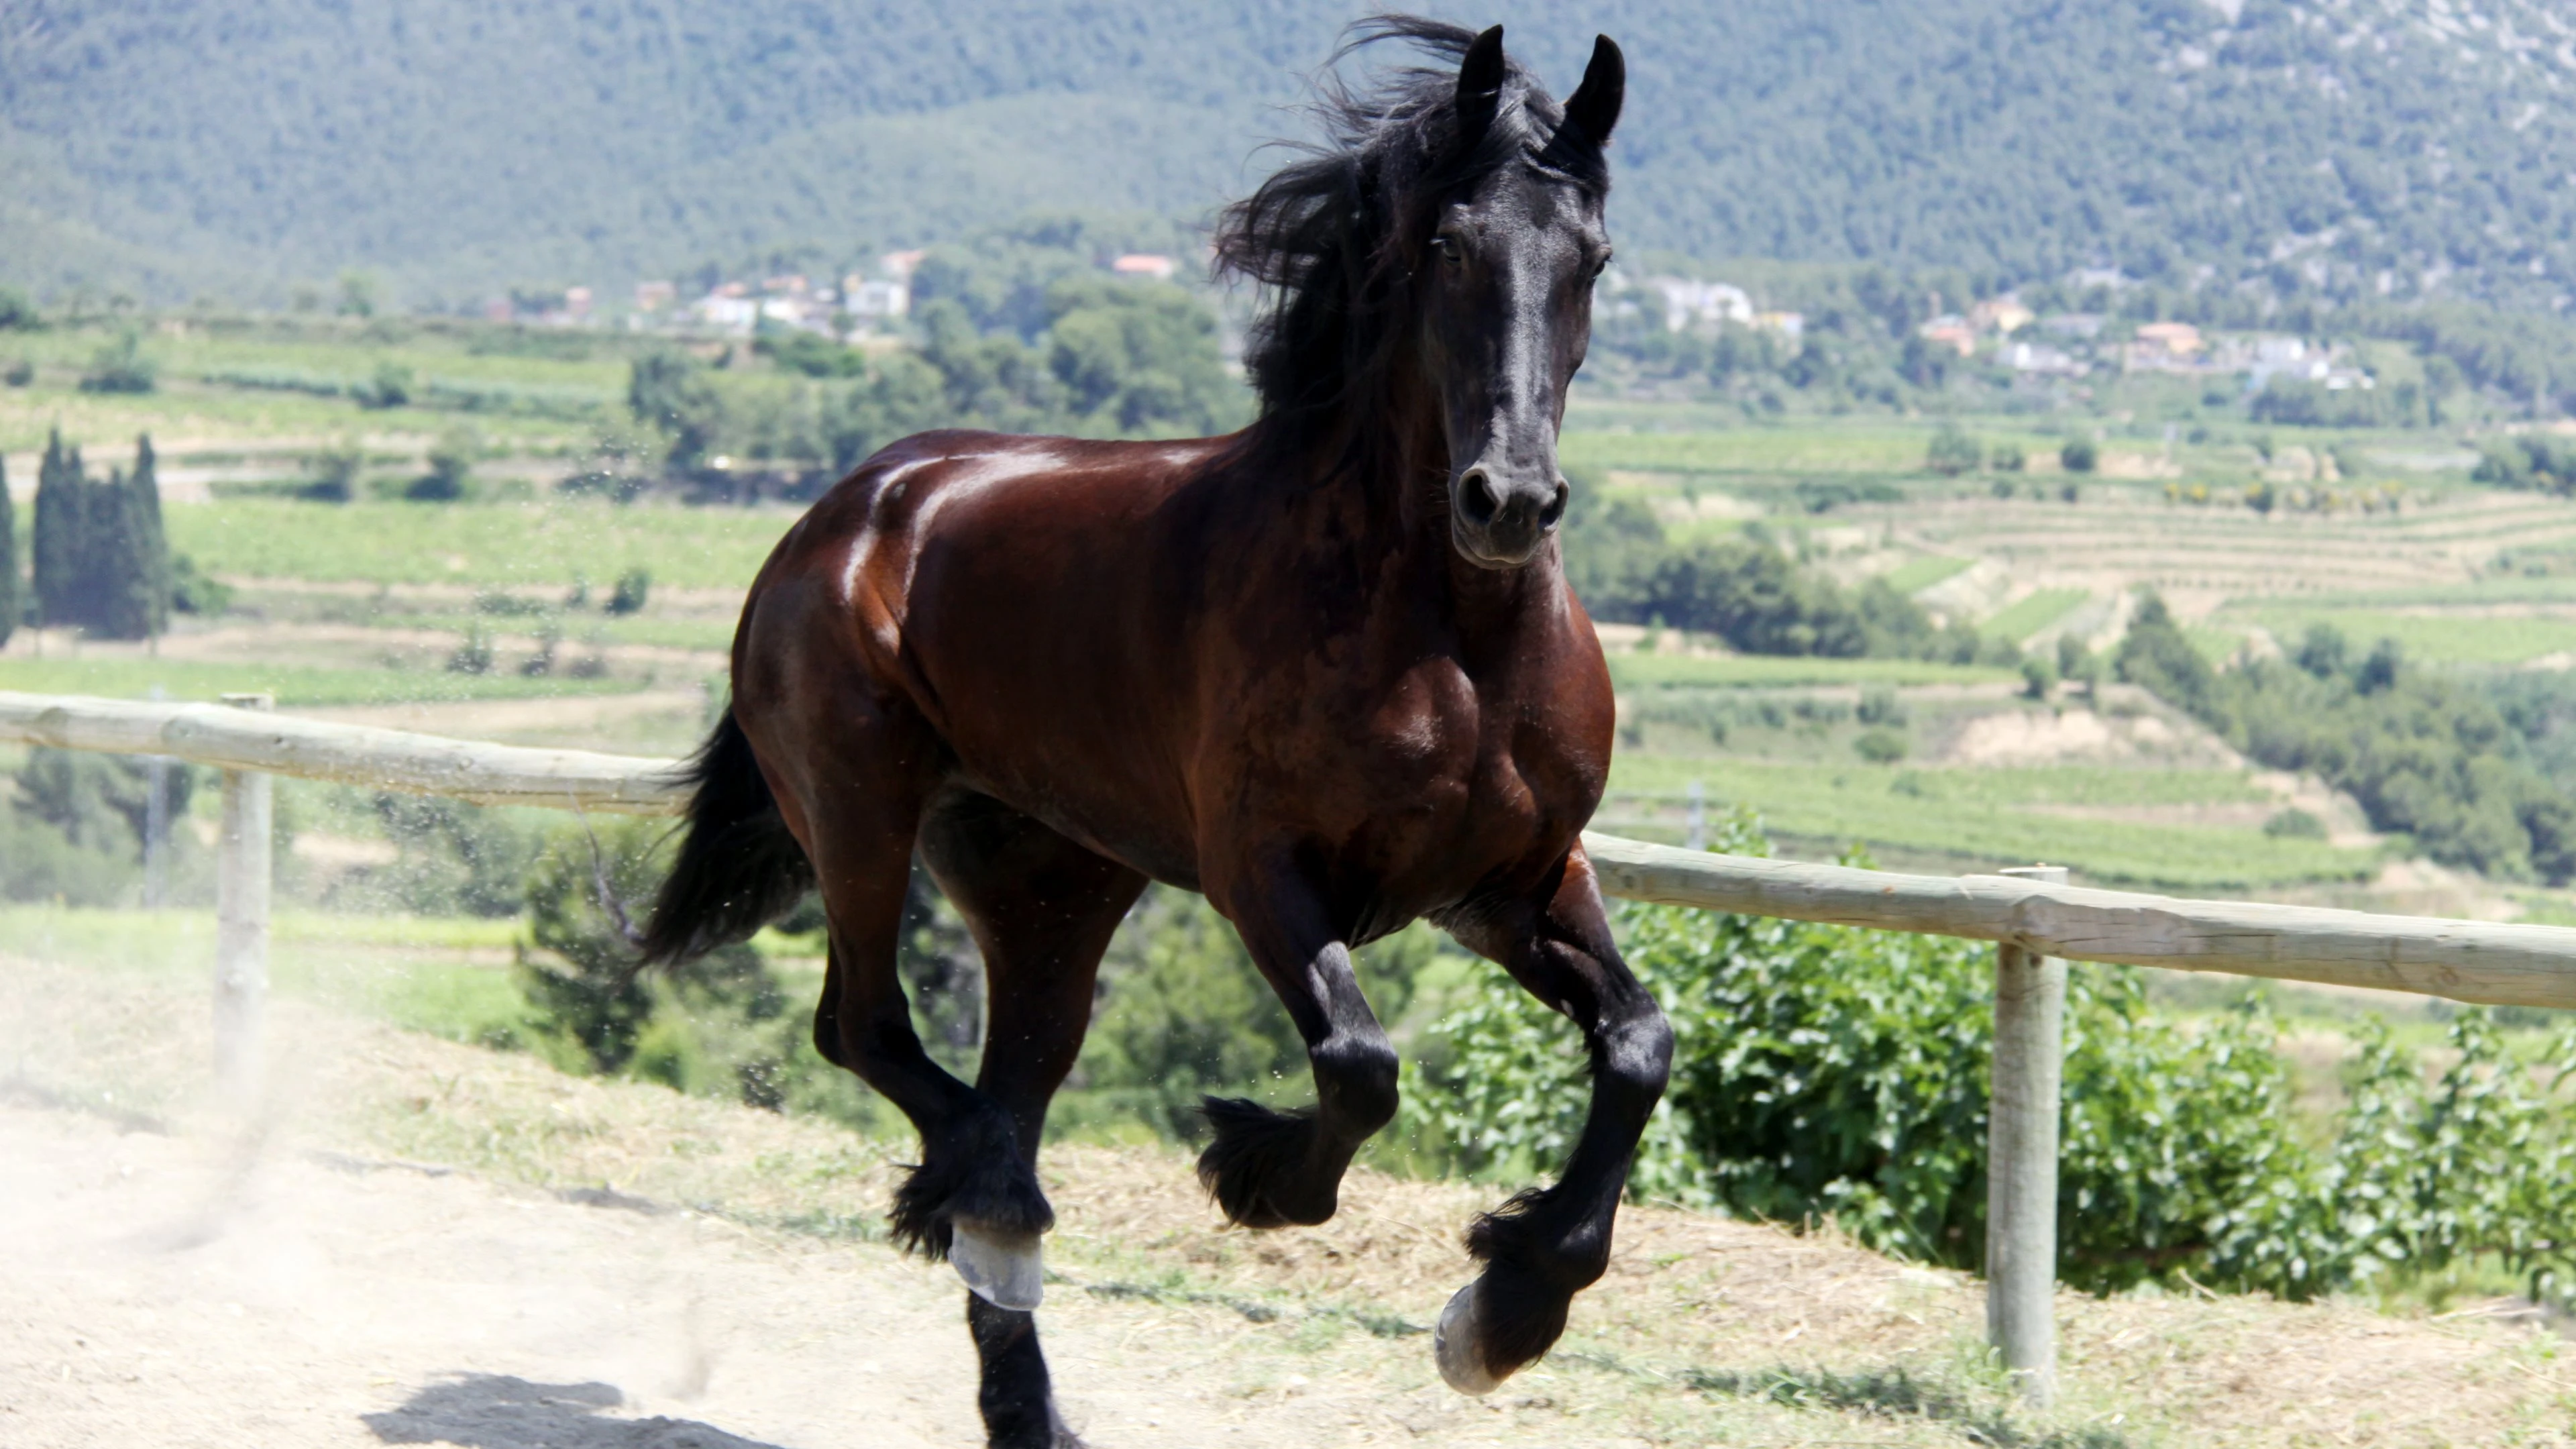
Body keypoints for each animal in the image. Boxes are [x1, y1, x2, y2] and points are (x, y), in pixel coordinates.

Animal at [639, 19, 1668, 1446]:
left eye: (1594, 259)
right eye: (1454, 246)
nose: (1507, 501)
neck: (1452, 633)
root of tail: (850, 507)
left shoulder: (1510, 882)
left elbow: (1637, 1048)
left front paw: (1507, 1313)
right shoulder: (1263, 872)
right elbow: (1359, 1063)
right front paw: (1255, 1170)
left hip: (1051, 890)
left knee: (1001, 1076)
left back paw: (1022, 1369)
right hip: (858, 811)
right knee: (869, 1031)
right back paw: (987, 1198)